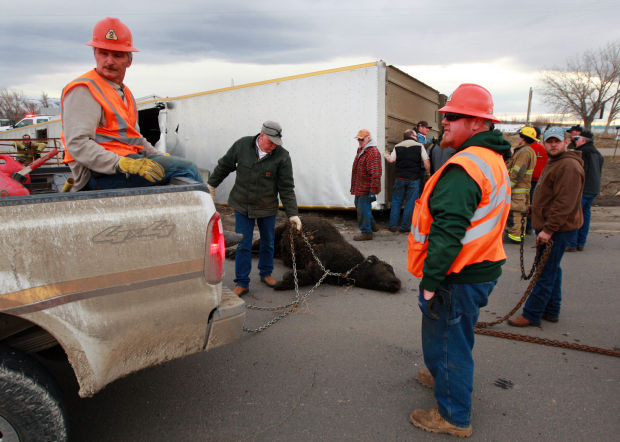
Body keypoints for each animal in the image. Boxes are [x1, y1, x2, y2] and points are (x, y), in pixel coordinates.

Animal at [228, 218, 402, 294]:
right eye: (387, 267)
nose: (397, 283)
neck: (350, 266)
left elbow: (312, 276)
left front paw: (287, 280)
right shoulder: (320, 259)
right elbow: (313, 273)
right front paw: (286, 281)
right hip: (275, 232)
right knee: (254, 245)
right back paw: (231, 252)